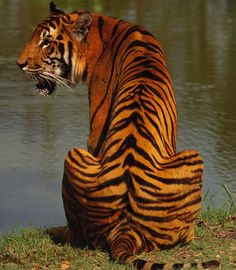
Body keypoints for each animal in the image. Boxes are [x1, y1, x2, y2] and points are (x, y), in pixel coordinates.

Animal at [17, 2, 220, 270]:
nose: (19, 64)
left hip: (76, 155)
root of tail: (126, 228)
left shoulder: (95, 132)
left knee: (77, 235)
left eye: (46, 42)